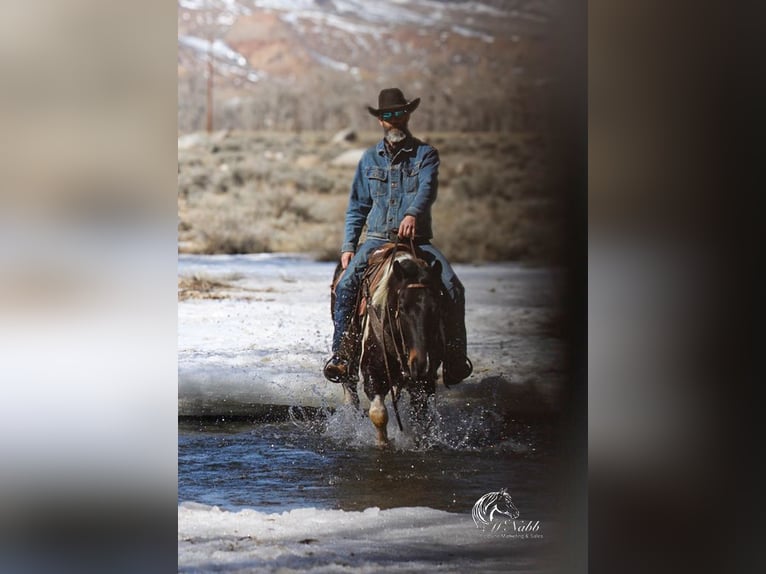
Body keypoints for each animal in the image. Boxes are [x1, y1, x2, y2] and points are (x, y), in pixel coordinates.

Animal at [330, 243, 444, 450]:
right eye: (402, 307)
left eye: (437, 307)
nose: (421, 364)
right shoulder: (373, 371)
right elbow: (378, 414)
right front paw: (384, 443)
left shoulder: (425, 382)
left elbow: (421, 417)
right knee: (350, 387)